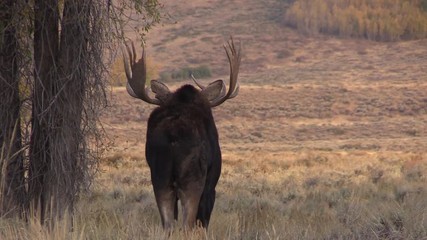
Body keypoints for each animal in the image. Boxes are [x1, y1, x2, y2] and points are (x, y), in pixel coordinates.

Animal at [123, 38, 241, 229]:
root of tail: (173, 136)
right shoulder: (211, 183)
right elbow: (203, 220)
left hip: (159, 178)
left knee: (168, 224)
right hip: (192, 180)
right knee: (187, 223)